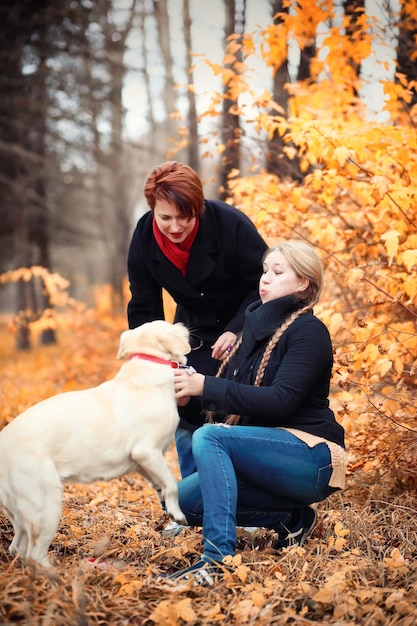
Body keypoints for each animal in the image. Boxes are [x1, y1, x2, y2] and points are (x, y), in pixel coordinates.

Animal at [0, 320, 190, 564]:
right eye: (171, 326)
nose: (184, 324)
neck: (148, 363)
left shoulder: (140, 462)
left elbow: (161, 484)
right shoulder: (146, 451)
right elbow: (172, 484)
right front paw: (177, 513)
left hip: (20, 515)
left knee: (17, 548)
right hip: (45, 505)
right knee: (34, 554)